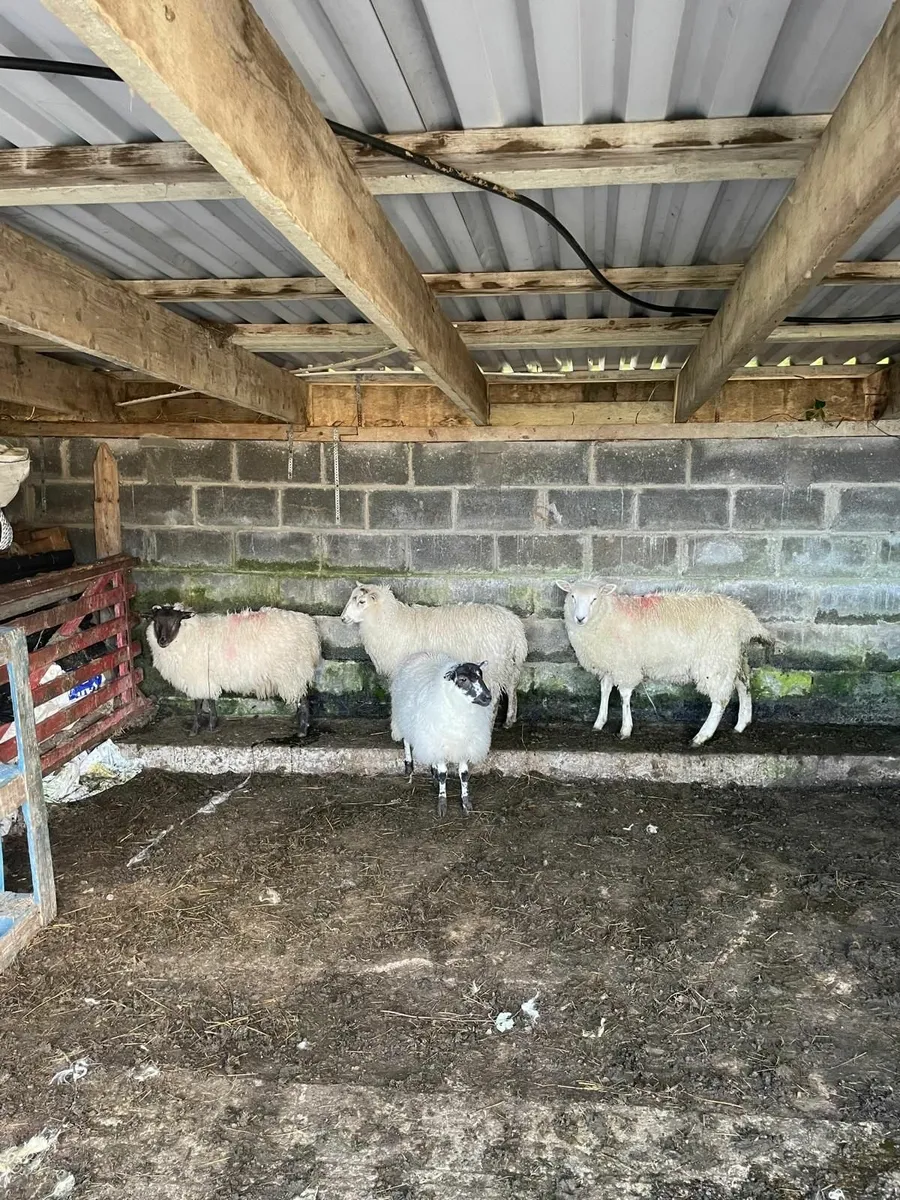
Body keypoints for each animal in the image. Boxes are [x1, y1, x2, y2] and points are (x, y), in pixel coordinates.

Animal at [146, 604, 321, 736]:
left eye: (177, 621)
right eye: (156, 621)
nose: (162, 641)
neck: (189, 635)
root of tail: (310, 630)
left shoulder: (197, 677)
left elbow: (198, 703)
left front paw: (195, 729)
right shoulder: (207, 678)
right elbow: (210, 700)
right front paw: (212, 724)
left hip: (293, 672)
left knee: (304, 699)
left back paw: (302, 730)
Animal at [340, 583, 527, 727]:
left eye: (362, 601)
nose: (342, 619)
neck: (389, 620)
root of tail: (515, 627)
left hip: (494, 663)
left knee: (494, 695)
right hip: (508, 663)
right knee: (512, 686)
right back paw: (509, 720)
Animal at [390, 651, 493, 815]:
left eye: (480, 675)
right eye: (463, 679)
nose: (488, 697)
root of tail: (420, 653)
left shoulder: (463, 745)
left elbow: (464, 774)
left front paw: (466, 802)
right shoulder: (440, 742)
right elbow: (443, 774)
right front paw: (442, 803)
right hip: (405, 718)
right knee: (406, 740)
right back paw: (409, 766)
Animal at [556, 581, 775, 746]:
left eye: (594, 599)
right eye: (572, 596)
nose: (580, 618)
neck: (607, 615)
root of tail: (745, 616)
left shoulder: (625, 665)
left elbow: (624, 695)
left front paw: (625, 729)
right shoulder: (610, 663)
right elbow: (605, 690)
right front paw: (599, 722)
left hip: (715, 661)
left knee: (720, 700)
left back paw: (701, 737)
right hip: (733, 657)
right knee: (744, 684)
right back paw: (741, 724)